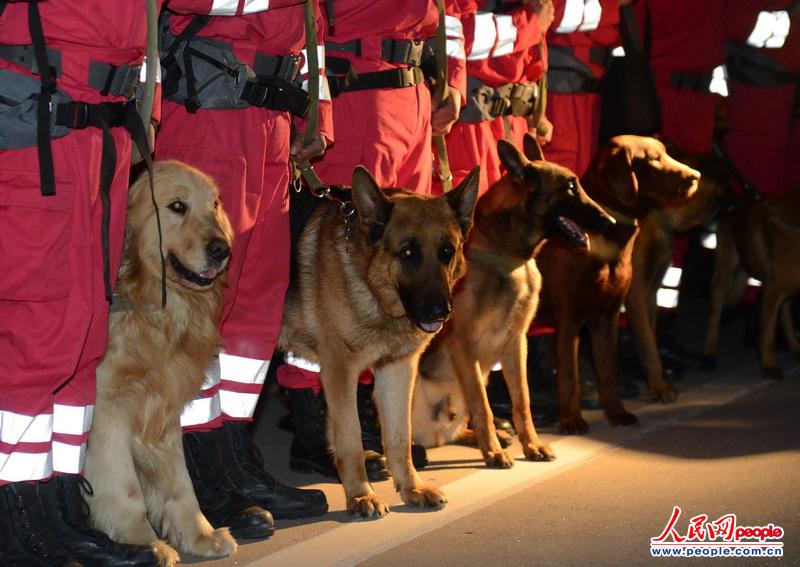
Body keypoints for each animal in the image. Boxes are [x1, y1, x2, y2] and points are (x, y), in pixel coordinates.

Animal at [85, 161, 241, 567]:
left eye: (214, 205)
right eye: (177, 206)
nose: (222, 249)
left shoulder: (162, 409)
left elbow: (179, 484)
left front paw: (199, 536)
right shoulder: (106, 414)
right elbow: (125, 488)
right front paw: (143, 543)